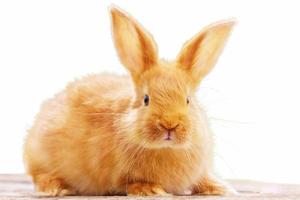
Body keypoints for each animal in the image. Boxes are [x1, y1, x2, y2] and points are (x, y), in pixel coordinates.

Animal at [23, 5, 234, 197]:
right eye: (146, 99)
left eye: (188, 100)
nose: (169, 124)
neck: (166, 149)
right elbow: (131, 182)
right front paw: (151, 190)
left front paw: (220, 188)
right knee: (40, 175)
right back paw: (55, 188)